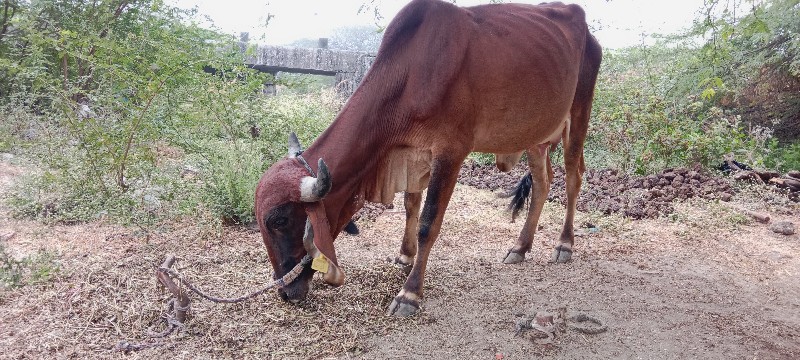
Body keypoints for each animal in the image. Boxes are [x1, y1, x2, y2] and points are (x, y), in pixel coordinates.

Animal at [255, 0, 600, 316]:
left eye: (279, 220)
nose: (285, 291)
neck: (412, 73)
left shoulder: (450, 153)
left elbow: (428, 222)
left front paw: (409, 293)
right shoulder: (412, 154)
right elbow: (410, 205)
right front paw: (405, 256)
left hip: (579, 113)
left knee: (573, 178)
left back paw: (564, 243)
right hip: (536, 137)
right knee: (543, 183)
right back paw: (520, 246)